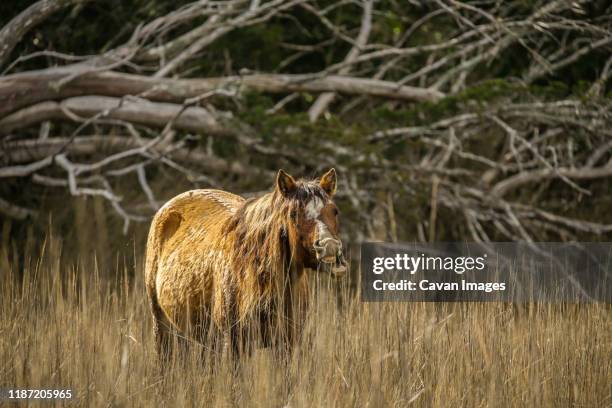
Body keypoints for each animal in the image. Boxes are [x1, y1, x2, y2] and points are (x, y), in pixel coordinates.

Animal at [143, 167, 344, 360]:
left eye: (335, 211)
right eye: (293, 214)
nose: (330, 247)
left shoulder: (287, 344)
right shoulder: (234, 344)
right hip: (163, 327)